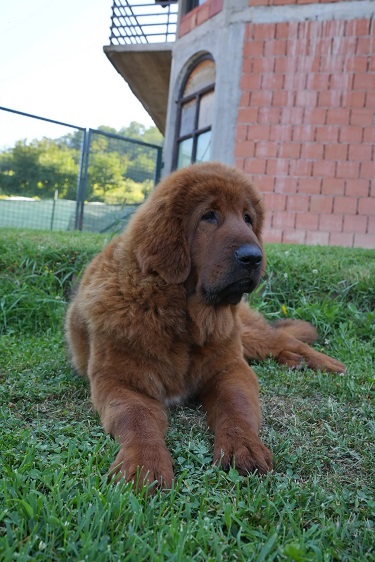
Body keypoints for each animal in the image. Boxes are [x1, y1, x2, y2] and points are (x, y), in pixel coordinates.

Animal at [65, 161, 346, 486]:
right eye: (209, 216)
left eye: (248, 219)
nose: (254, 257)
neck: (181, 318)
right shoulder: (118, 381)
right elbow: (135, 417)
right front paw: (144, 463)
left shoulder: (231, 368)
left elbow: (235, 406)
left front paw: (243, 446)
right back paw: (294, 362)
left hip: (247, 336)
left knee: (287, 339)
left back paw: (326, 363)